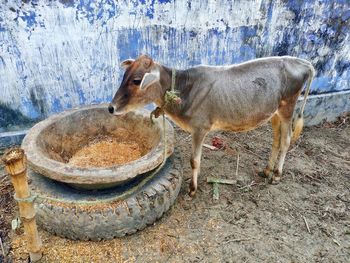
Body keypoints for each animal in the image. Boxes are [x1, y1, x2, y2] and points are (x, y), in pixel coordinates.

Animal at [108, 54, 314, 197]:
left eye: (137, 80)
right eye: (124, 75)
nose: (111, 107)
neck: (184, 90)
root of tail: (302, 62)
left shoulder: (200, 129)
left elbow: (194, 160)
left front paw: (192, 189)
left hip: (288, 108)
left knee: (286, 141)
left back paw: (277, 175)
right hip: (275, 113)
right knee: (276, 141)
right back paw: (266, 171)